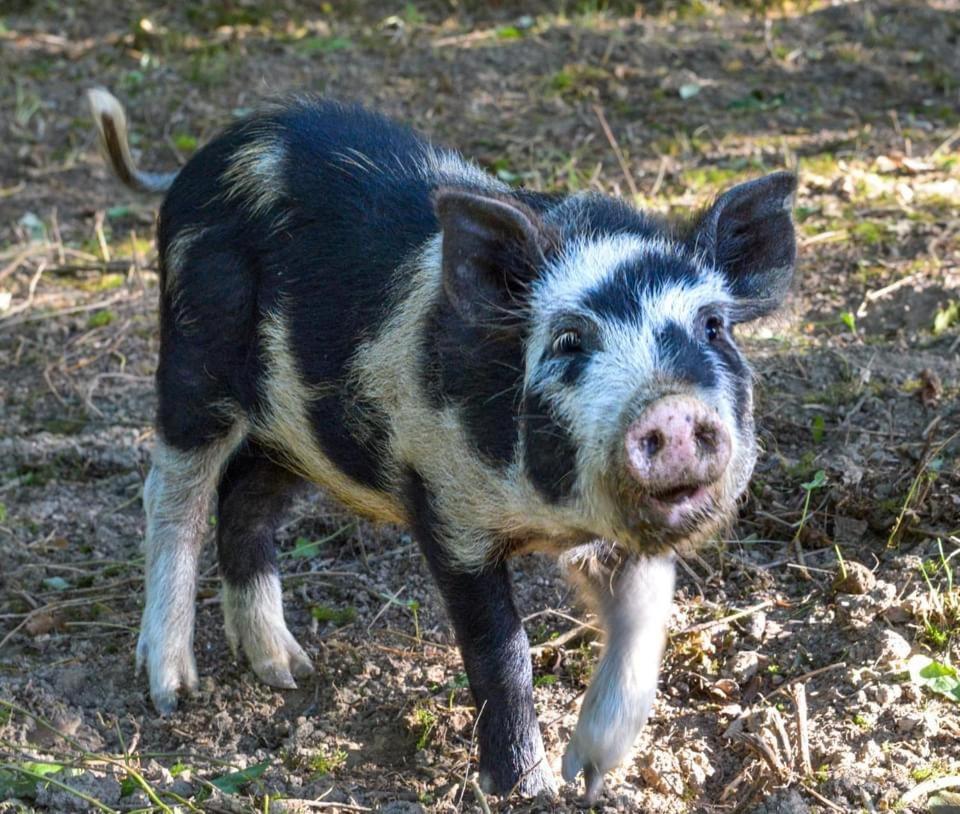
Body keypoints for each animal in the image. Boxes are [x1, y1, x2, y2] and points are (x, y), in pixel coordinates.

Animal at [88, 89, 796, 804]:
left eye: (713, 326)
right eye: (570, 340)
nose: (672, 409)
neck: (551, 517)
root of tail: (211, 153)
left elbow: (644, 624)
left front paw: (590, 774)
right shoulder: (448, 507)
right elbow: (500, 652)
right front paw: (529, 791)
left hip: (299, 428)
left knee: (243, 499)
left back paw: (289, 671)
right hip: (194, 358)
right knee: (171, 495)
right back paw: (174, 692)